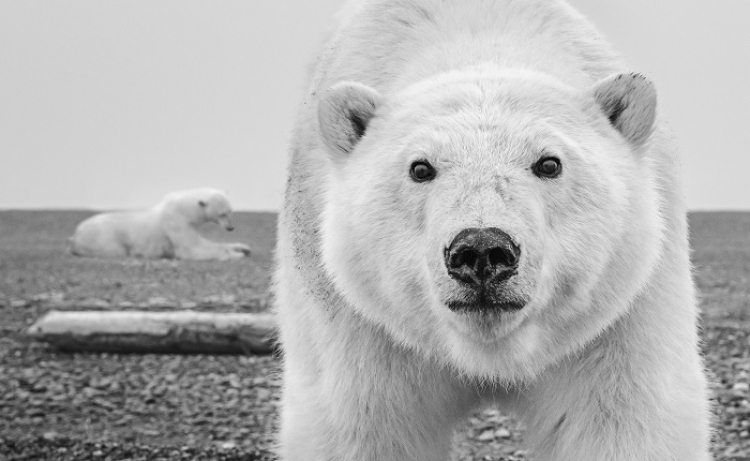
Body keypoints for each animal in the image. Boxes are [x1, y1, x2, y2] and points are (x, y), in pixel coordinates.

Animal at [68, 186, 250, 258]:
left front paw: (242, 248)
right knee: (115, 249)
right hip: (105, 238)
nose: (231, 227)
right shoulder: (176, 223)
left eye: (230, 211)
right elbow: (191, 250)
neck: (183, 209)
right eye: (222, 214)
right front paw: (235, 255)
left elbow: (203, 243)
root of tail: (76, 234)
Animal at [274, 0, 712, 460]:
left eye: (549, 163)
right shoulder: (360, 325)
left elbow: (626, 420)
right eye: (420, 168)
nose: (482, 250)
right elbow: (363, 428)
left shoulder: (621, 316)